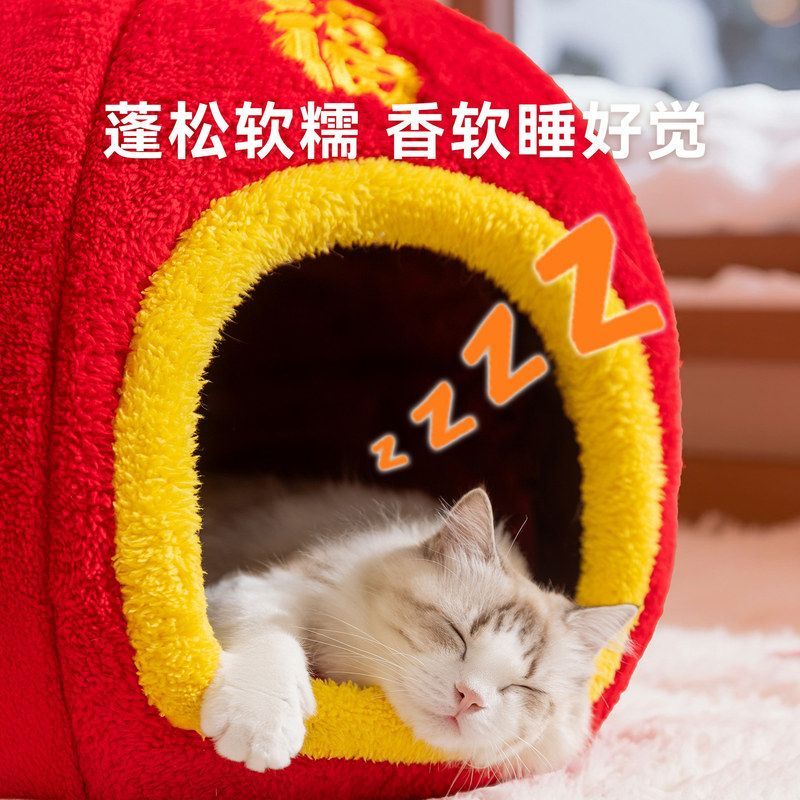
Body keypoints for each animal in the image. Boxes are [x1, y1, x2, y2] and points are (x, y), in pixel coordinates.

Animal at [200, 479, 636, 776]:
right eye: (456, 633)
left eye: (524, 688)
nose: (469, 698)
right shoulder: (268, 586)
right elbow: (272, 643)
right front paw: (261, 729)